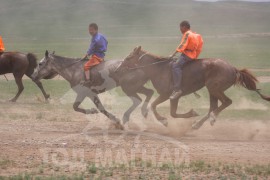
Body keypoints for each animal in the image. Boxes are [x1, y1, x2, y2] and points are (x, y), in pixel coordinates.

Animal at [117, 45, 270, 129]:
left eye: (129, 57)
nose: (118, 68)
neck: (159, 69)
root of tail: (233, 68)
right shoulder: (174, 97)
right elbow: (173, 113)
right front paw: (192, 113)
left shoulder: (166, 95)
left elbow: (154, 106)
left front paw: (164, 121)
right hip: (212, 91)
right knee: (212, 108)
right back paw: (197, 124)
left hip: (214, 88)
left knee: (226, 102)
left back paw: (212, 119)